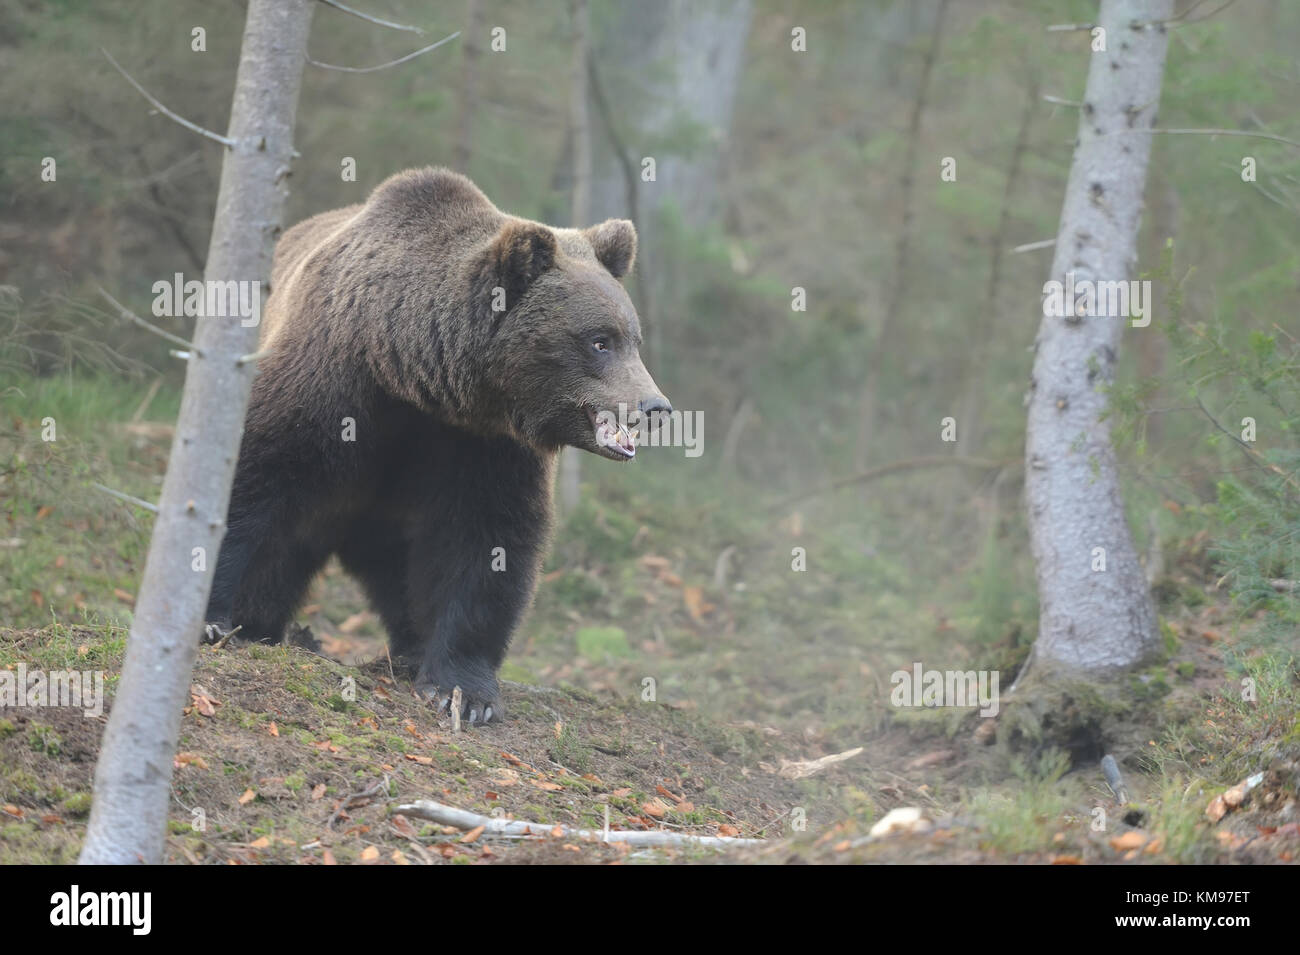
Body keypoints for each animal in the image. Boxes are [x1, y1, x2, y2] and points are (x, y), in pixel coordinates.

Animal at [208, 170, 670, 722]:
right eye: (600, 340)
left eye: (633, 339)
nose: (655, 406)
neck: (411, 375)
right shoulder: (329, 382)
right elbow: (257, 476)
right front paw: (214, 617)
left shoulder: (482, 444)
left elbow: (484, 541)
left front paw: (462, 690)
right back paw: (261, 623)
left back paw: (409, 650)